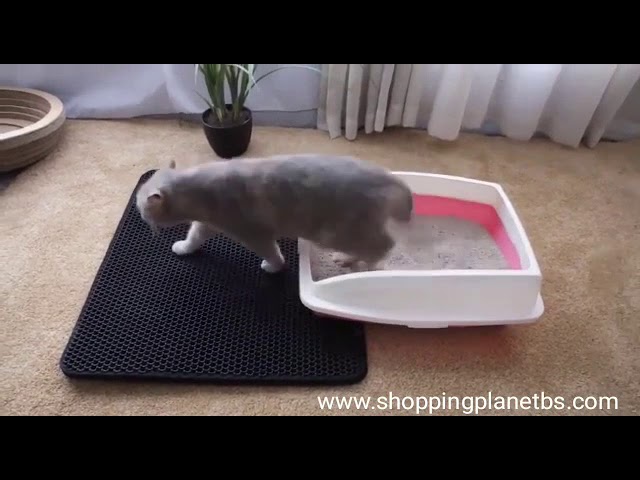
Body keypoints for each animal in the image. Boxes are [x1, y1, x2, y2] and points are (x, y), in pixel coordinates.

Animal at [135, 154, 413, 273]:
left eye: (139, 206)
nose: (140, 217)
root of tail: (387, 178)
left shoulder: (253, 233)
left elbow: (271, 252)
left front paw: (274, 266)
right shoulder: (207, 223)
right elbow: (194, 236)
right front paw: (184, 247)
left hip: (341, 232)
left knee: (383, 246)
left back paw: (365, 264)